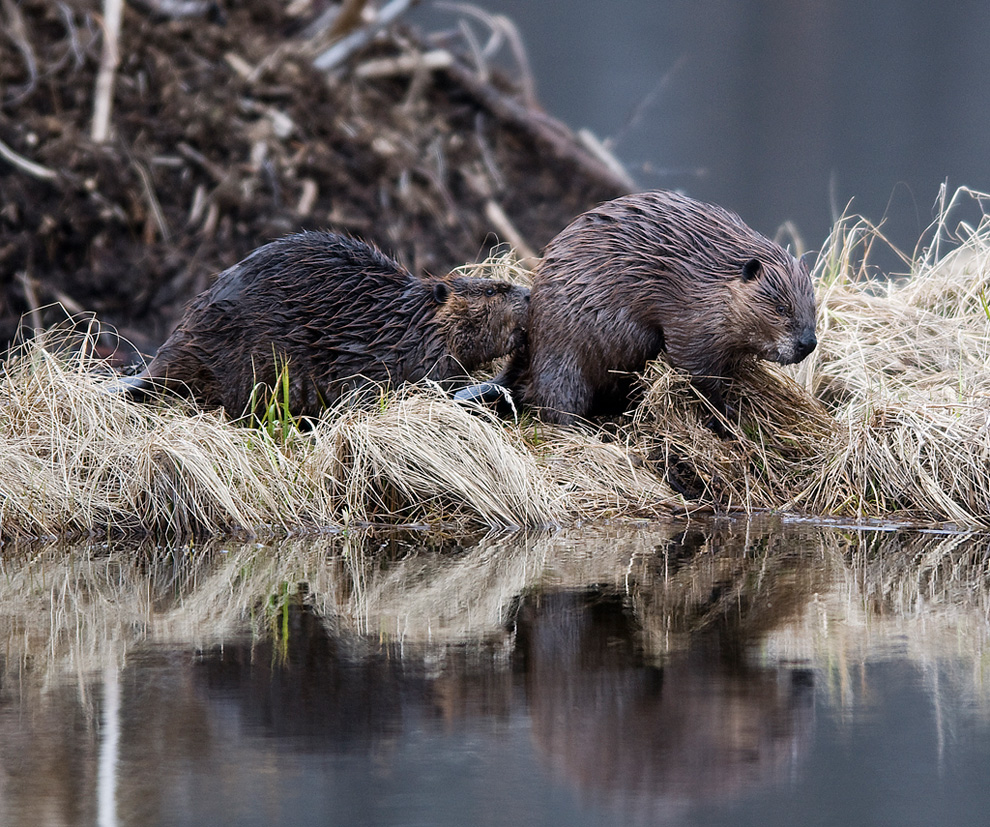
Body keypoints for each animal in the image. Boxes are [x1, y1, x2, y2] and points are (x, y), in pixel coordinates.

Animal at [500, 191, 816, 424]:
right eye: (781, 308)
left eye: (812, 305)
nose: (808, 343)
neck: (713, 276)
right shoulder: (692, 315)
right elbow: (693, 365)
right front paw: (726, 414)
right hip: (563, 349)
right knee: (558, 402)